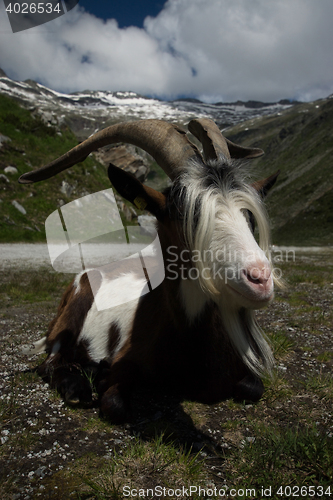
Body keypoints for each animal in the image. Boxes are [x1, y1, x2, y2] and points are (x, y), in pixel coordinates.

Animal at [19, 117, 278, 422]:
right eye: (183, 213)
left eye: (248, 214)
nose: (260, 280)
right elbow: (114, 404)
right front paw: (99, 381)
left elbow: (253, 387)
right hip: (69, 318)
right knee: (50, 362)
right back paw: (77, 388)